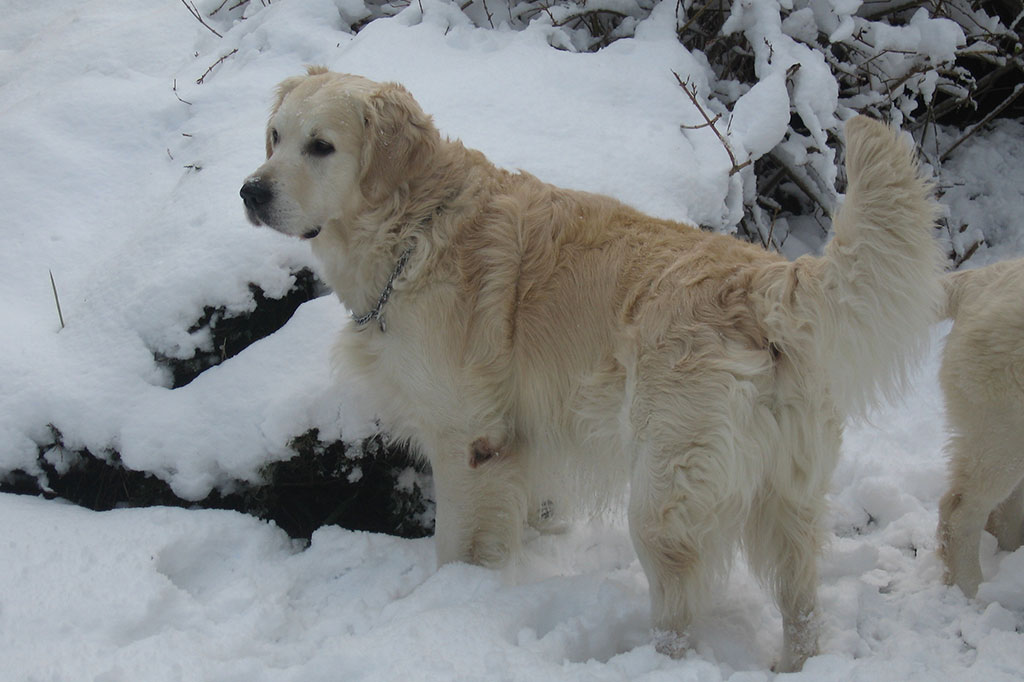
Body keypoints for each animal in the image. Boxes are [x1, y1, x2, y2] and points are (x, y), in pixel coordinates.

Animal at [239, 69, 942, 667]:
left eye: (321, 146)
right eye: (275, 137)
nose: (251, 190)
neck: (414, 227)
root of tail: (768, 280)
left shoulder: (467, 439)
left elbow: (455, 544)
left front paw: (449, 600)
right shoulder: (519, 441)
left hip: (661, 496)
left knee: (679, 618)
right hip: (786, 494)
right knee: (802, 604)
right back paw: (795, 664)